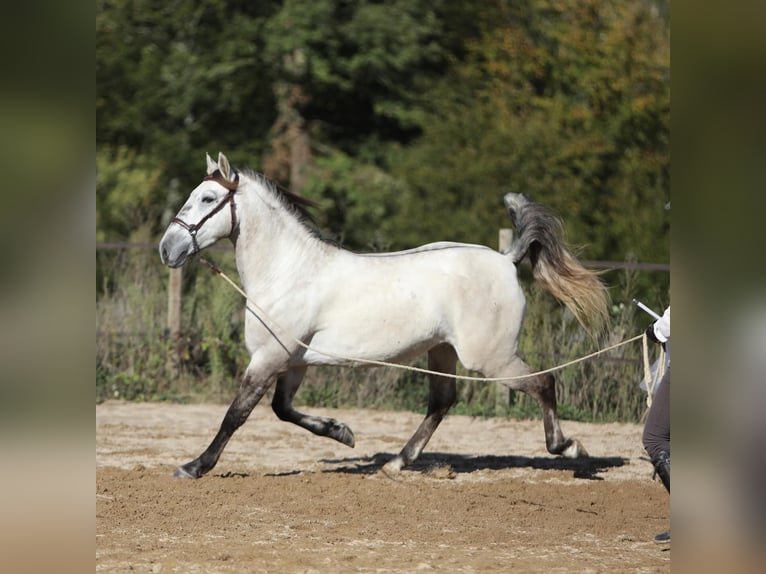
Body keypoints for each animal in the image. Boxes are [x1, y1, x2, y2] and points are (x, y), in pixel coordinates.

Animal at [159, 151, 608, 480]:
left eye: (208, 199)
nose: (168, 248)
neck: (288, 271)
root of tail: (505, 259)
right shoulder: (293, 361)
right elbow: (282, 410)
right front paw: (343, 433)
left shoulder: (269, 357)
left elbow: (237, 414)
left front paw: (194, 466)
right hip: (443, 350)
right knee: (442, 402)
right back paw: (397, 462)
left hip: (490, 358)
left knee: (543, 382)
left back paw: (570, 449)